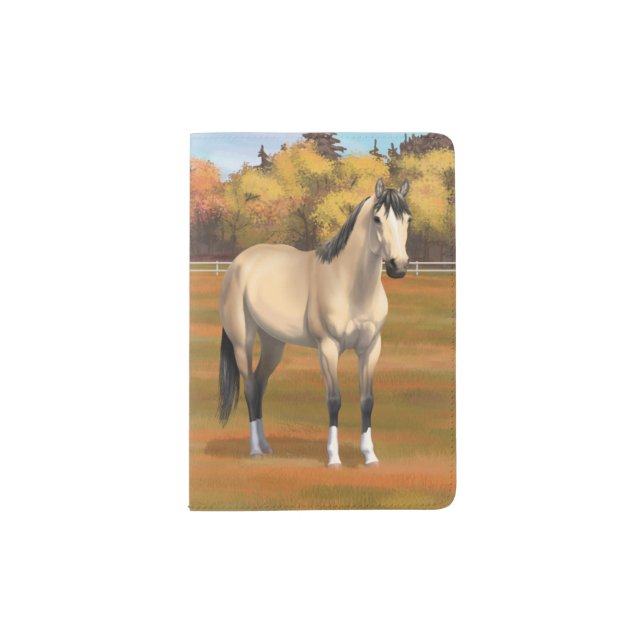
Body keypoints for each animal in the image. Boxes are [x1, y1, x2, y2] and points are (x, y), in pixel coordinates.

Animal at [217, 178, 411, 466]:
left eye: (408, 219)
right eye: (377, 219)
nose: (399, 266)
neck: (349, 284)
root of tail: (239, 263)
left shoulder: (371, 348)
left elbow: (367, 401)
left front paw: (370, 456)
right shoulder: (328, 348)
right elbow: (333, 400)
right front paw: (334, 458)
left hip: (273, 342)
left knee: (261, 384)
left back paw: (265, 445)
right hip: (243, 341)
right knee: (251, 387)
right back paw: (254, 450)